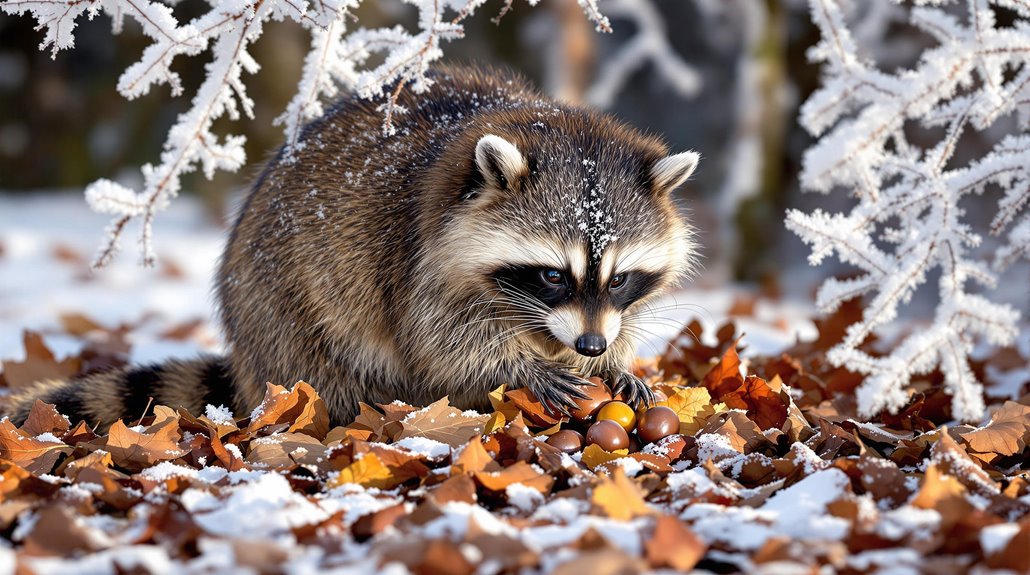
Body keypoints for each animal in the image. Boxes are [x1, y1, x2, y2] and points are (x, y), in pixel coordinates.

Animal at [4, 66, 700, 428]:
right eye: (554, 275)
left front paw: (619, 363)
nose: (591, 346)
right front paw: (514, 367)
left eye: (618, 278)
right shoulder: (417, 257)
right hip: (283, 308)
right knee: (331, 369)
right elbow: (440, 342)